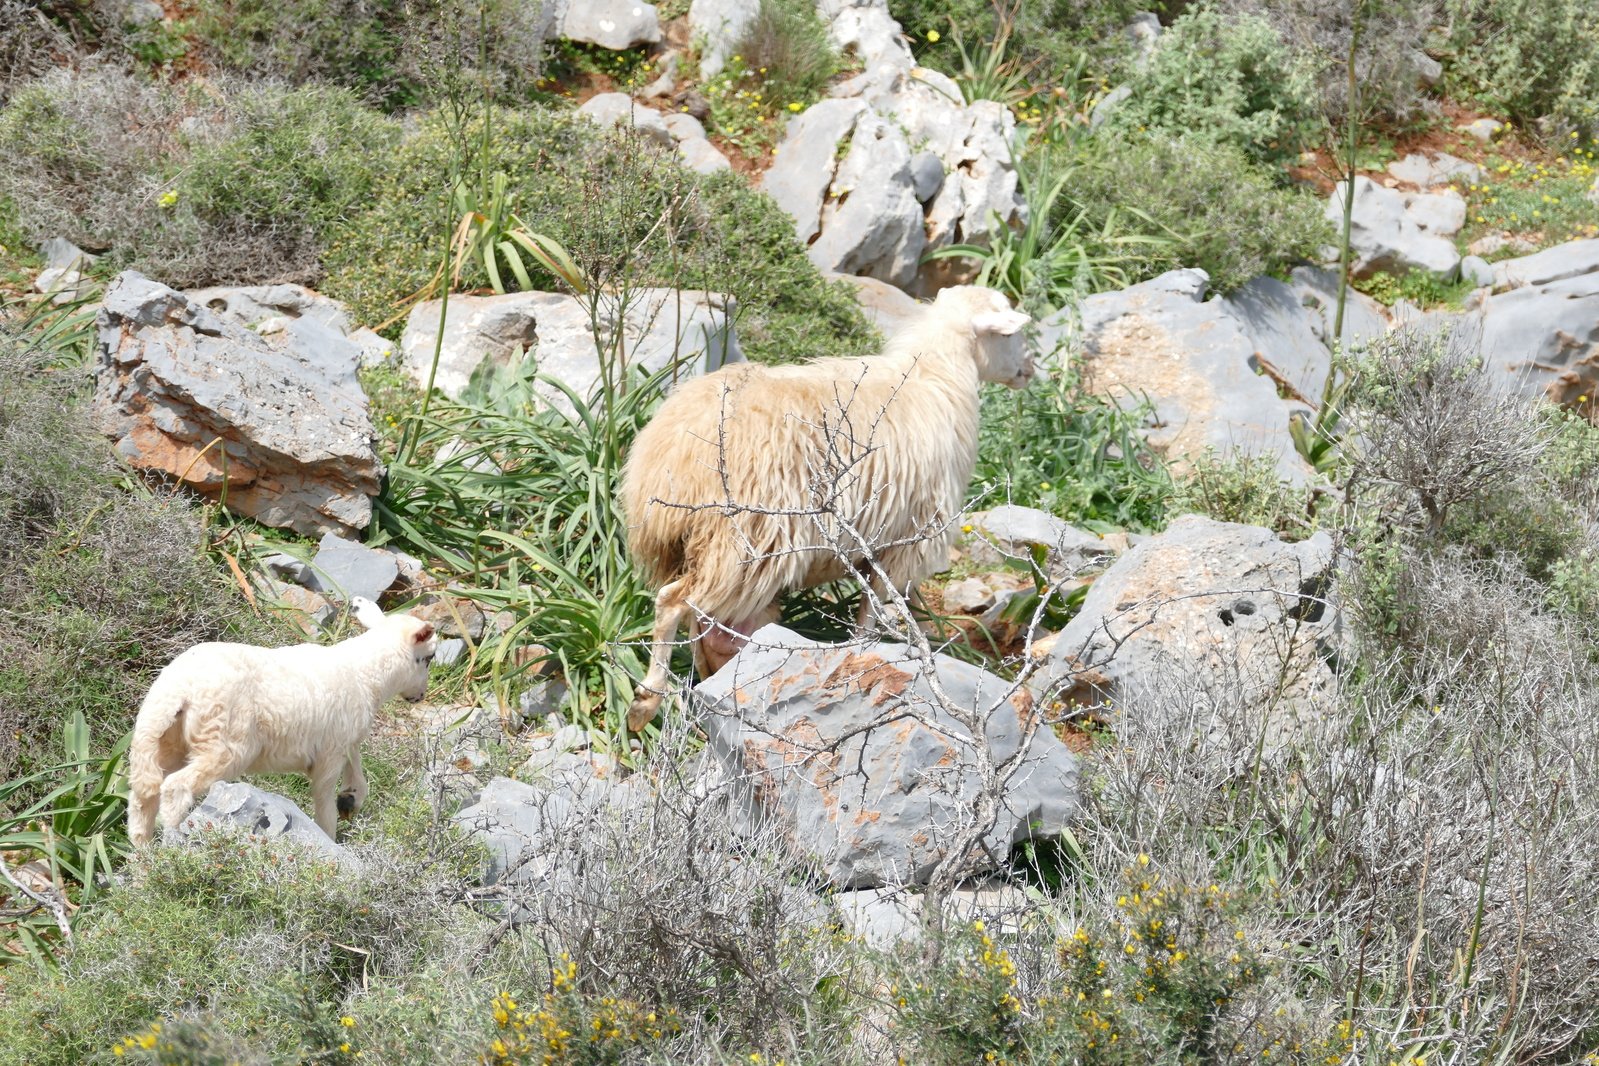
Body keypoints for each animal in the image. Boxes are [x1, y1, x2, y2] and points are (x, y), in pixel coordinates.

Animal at [127, 600, 438, 843]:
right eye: (429, 658)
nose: (420, 696)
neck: (366, 673)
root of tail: (181, 690)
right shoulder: (330, 750)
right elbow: (324, 801)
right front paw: (331, 833)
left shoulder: (344, 740)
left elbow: (357, 772)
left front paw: (351, 798)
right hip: (224, 740)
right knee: (175, 789)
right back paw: (172, 844)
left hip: (156, 735)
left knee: (143, 796)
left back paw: (143, 864)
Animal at [617, 282, 1029, 735]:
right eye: (1011, 333)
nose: (1030, 369)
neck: (938, 375)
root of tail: (674, 455)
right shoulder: (904, 540)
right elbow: (873, 609)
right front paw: (866, 650)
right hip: (743, 540)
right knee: (673, 603)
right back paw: (645, 702)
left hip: (690, 544)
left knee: (706, 627)